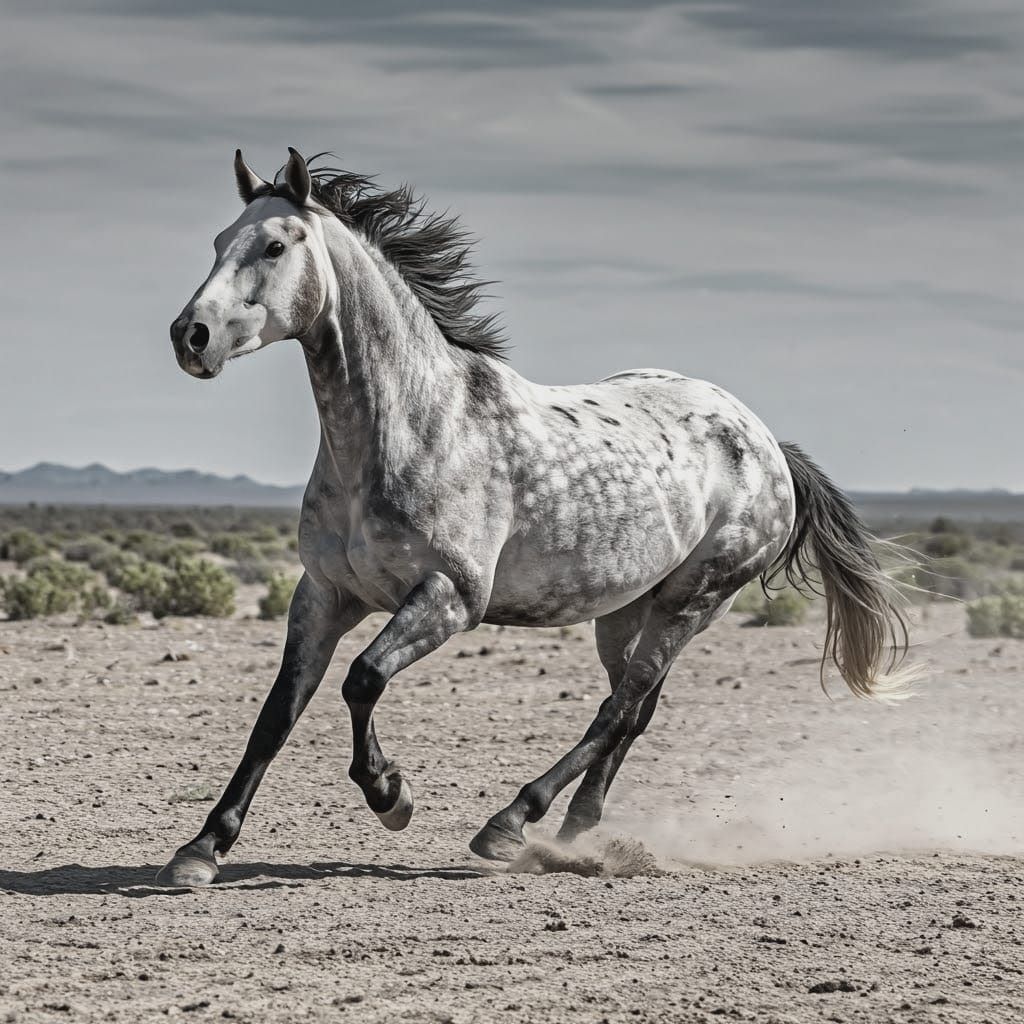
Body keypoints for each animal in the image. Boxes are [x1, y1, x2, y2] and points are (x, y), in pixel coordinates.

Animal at [158, 148, 915, 886]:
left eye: (275, 245)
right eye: (221, 241)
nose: (190, 336)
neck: (408, 427)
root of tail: (766, 444)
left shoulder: (450, 598)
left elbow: (362, 679)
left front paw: (391, 794)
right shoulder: (323, 596)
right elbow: (277, 714)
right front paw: (201, 849)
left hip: (693, 601)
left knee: (618, 709)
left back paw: (512, 822)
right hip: (625, 610)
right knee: (636, 709)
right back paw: (577, 828)